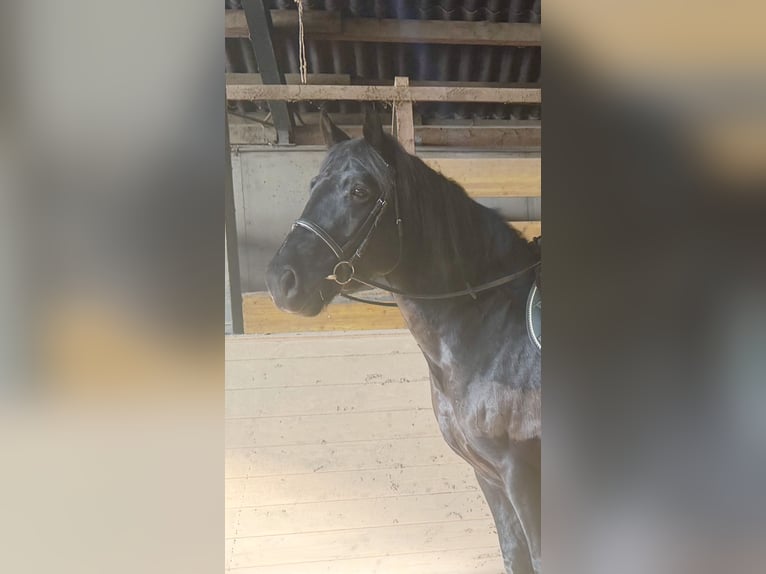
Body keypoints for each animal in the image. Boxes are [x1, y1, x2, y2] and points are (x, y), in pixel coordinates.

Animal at [265, 108, 541, 574]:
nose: (281, 281)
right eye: (313, 184)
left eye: (360, 191)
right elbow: (515, 555)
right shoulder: (489, 475)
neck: (492, 328)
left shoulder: (524, 475)